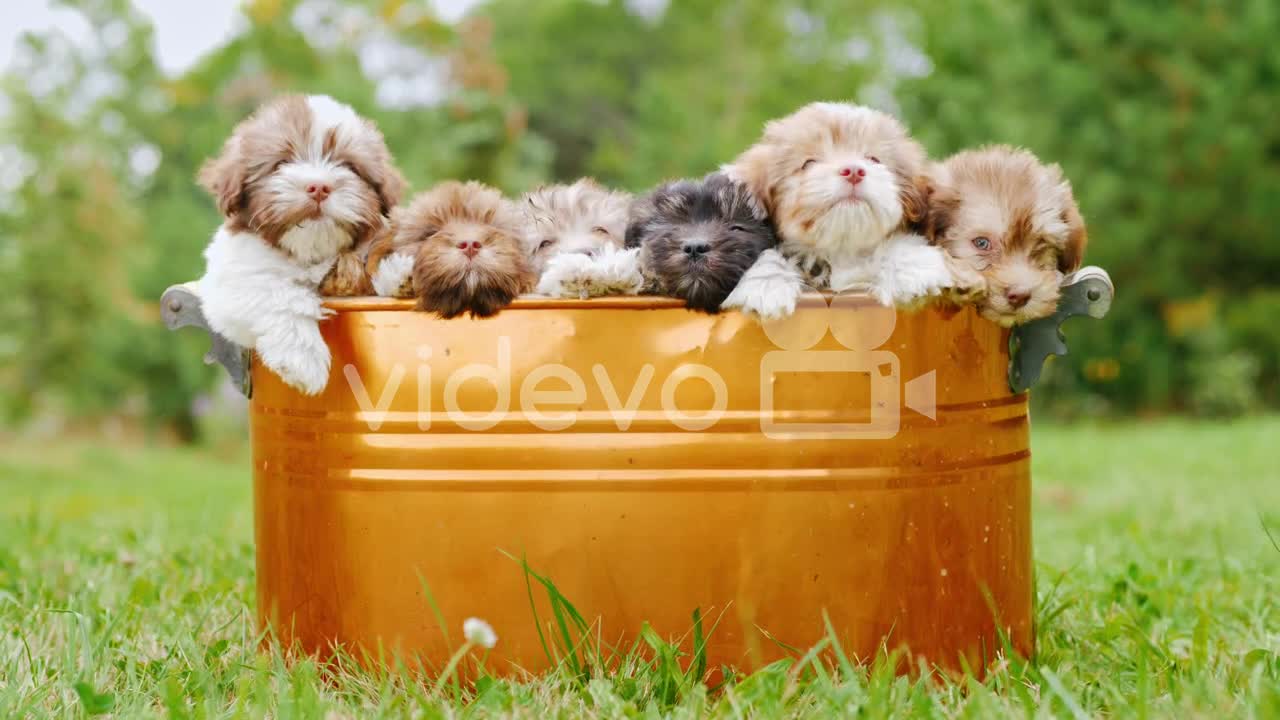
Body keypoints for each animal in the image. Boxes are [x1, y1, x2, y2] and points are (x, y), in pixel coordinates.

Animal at [197, 92, 399, 394]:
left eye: (348, 166)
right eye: (281, 163)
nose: (319, 187)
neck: (308, 253)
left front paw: (401, 271)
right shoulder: (230, 281)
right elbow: (278, 292)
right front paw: (303, 360)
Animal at [721, 99, 962, 316]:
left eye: (874, 159)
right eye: (809, 163)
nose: (854, 170)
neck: (843, 251)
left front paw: (912, 270)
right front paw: (766, 285)